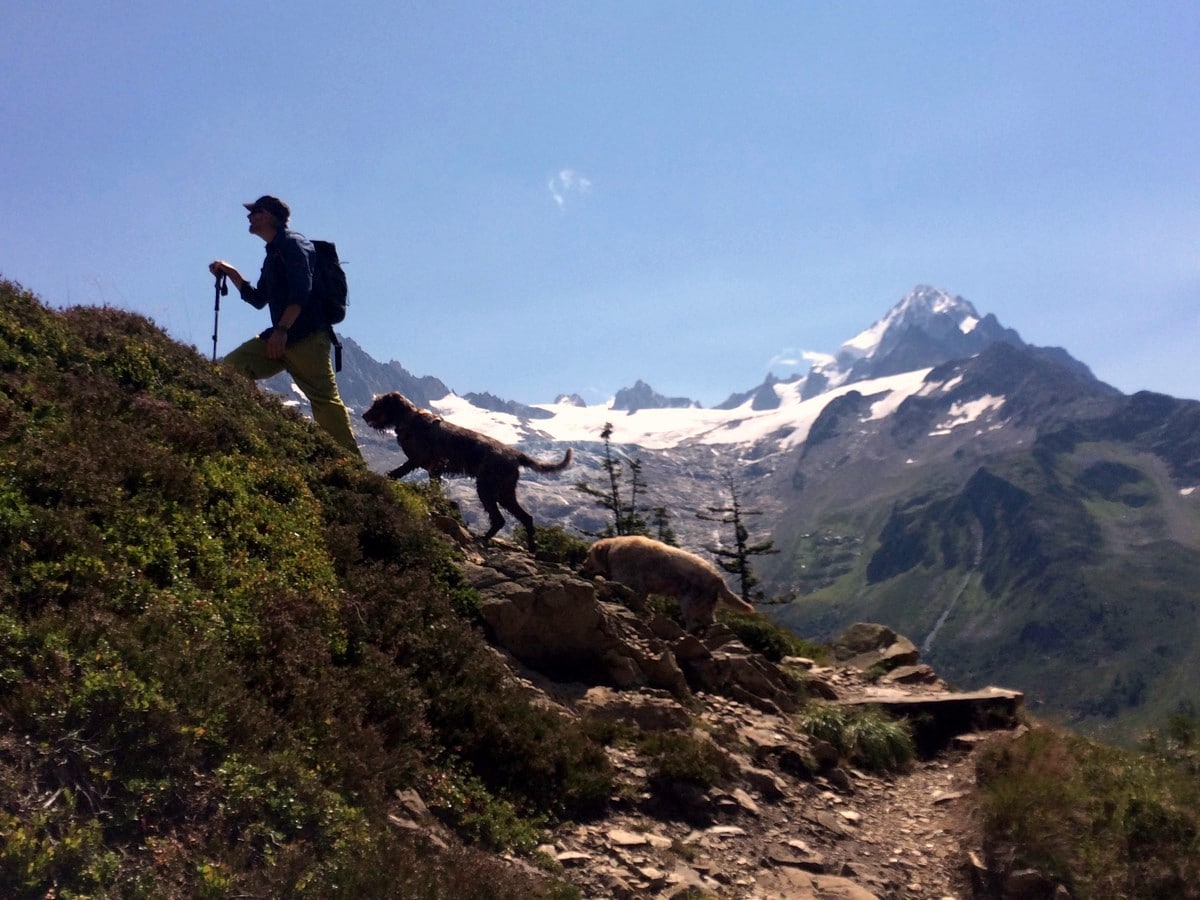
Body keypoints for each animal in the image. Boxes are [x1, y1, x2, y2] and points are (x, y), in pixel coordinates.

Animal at [360, 393, 571, 554]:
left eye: (378, 404)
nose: (364, 415)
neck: (410, 419)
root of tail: (515, 454)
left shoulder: (419, 461)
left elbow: (398, 471)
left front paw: (387, 478)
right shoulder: (434, 470)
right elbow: (432, 488)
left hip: (487, 489)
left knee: (500, 519)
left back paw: (484, 538)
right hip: (504, 493)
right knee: (525, 517)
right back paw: (531, 548)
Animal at [578, 535, 753, 633]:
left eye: (588, 554)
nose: (582, 565)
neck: (611, 549)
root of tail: (718, 577)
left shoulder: (630, 581)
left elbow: (613, 584)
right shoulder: (642, 589)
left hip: (688, 601)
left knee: (693, 622)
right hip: (704, 605)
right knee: (710, 622)